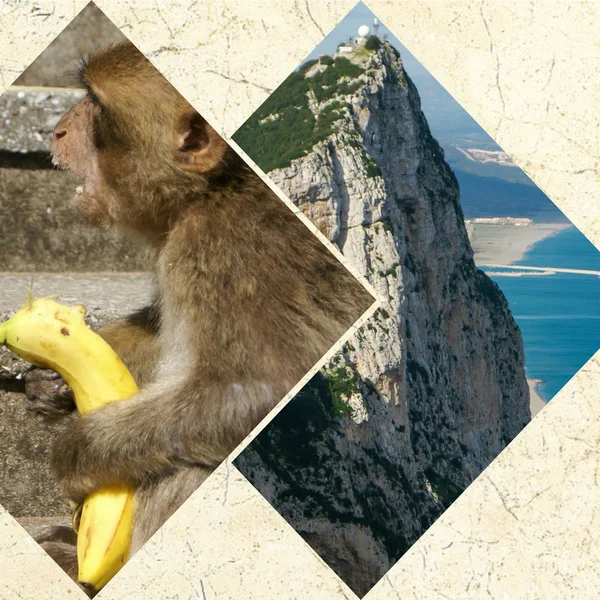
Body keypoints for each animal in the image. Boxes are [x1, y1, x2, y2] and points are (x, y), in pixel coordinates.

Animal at [24, 41, 376, 592]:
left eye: (95, 105)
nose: (57, 130)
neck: (213, 189)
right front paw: (54, 385)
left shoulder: (221, 252)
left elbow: (260, 390)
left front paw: (74, 450)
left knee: (190, 459)